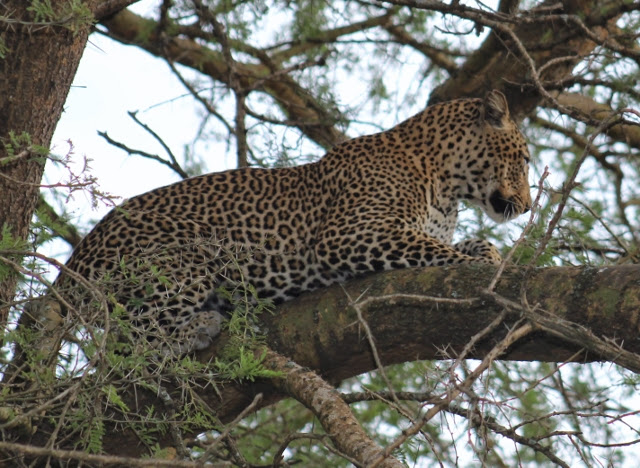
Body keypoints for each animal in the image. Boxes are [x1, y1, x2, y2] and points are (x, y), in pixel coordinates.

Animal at [46, 88, 536, 352]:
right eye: (526, 160)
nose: (530, 206)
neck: (447, 183)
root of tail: (74, 262)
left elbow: (466, 244)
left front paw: (490, 255)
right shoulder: (350, 234)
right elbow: (438, 253)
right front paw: (480, 266)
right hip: (184, 260)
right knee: (132, 342)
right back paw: (199, 327)